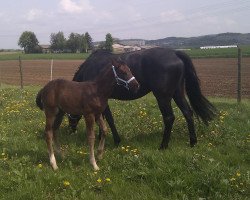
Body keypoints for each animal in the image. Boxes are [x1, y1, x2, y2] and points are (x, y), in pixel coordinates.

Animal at [69, 47, 217, 149]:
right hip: (178, 93)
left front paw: (116, 140)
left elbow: (108, 119)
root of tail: (174, 53)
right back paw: (193, 142)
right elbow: (102, 119)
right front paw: (101, 137)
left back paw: (163, 145)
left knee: (169, 117)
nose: (71, 129)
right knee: (188, 113)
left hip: (163, 97)